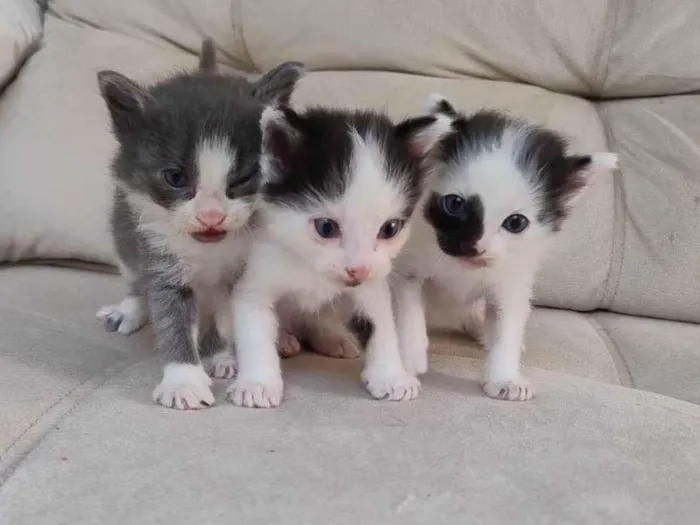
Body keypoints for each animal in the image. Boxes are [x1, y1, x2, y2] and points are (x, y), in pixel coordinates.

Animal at [95, 41, 304, 410]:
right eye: (176, 178)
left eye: (244, 178)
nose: (211, 216)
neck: (208, 252)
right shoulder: (157, 251)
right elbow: (170, 315)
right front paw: (184, 381)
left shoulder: (240, 270)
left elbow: (229, 316)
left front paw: (222, 356)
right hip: (123, 231)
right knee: (135, 275)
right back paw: (130, 310)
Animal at [227, 104, 452, 408]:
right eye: (326, 227)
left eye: (390, 228)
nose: (359, 269)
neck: (311, 266)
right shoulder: (256, 273)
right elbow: (254, 329)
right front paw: (257, 384)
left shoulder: (373, 281)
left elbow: (382, 323)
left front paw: (391, 376)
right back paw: (285, 339)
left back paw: (332, 337)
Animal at [394, 95, 616, 402]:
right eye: (455, 204)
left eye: (515, 223)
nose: (474, 247)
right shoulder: (405, 269)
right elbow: (408, 315)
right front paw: (408, 363)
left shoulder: (511, 282)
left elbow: (507, 326)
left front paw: (504, 378)